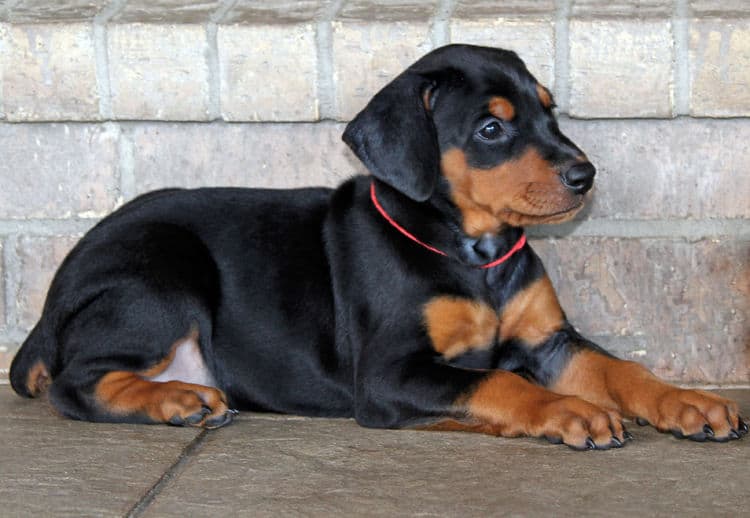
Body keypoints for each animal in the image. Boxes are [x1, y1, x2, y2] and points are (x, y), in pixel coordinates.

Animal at [8, 45, 748, 450]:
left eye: (550, 110)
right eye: (490, 129)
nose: (585, 175)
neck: (473, 253)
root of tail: (50, 306)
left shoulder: (549, 340)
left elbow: (621, 369)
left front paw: (688, 401)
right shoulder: (391, 374)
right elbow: (497, 381)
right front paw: (571, 410)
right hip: (161, 275)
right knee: (73, 384)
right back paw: (175, 402)